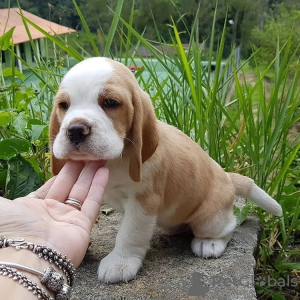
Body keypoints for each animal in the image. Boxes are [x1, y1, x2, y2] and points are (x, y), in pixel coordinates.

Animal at [49, 56, 282, 284]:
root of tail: (227, 176)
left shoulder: (143, 202)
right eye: (64, 105)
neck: (115, 160)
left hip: (211, 220)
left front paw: (121, 263)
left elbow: (130, 233)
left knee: (228, 226)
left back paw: (209, 243)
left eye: (110, 102)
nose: (75, 130)